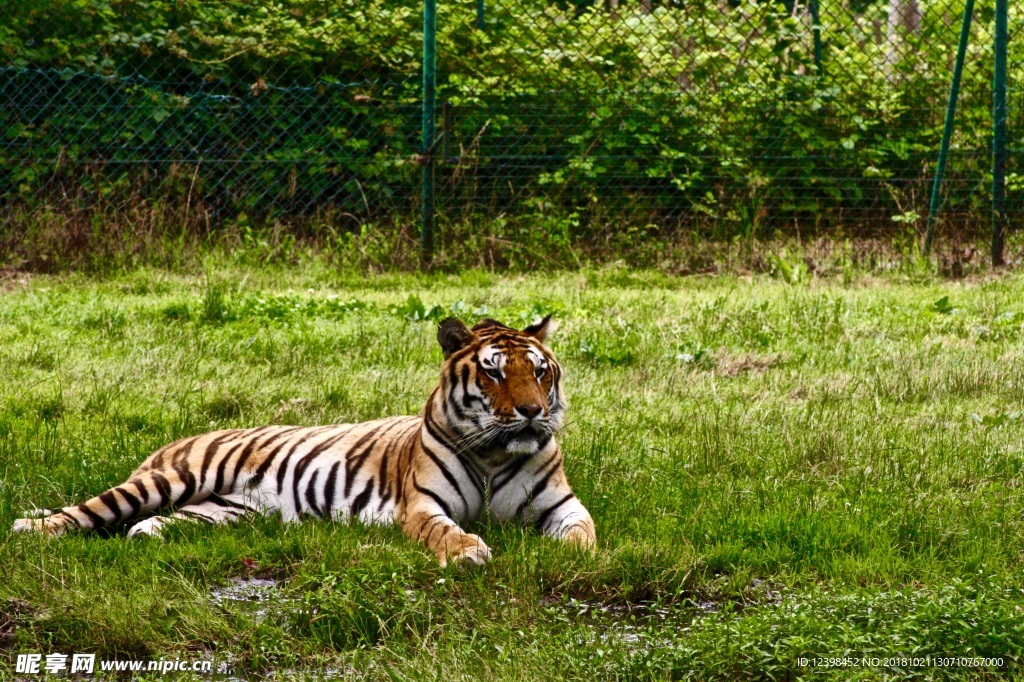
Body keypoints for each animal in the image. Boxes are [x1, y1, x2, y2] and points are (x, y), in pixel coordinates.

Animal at [12, 316, 595, 566]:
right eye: (494, 373)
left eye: (540, 372)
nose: (532, 412)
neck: (497, 454)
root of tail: (169, 445)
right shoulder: (424, 506)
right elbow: (445, 532)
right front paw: (469, 550)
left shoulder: (562, 504)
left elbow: (581, 533)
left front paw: (573, 556)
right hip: (169, 479)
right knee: (87, 512)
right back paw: (31, 529)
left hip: (220, 513)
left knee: (145, 526)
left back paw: (146, 536)